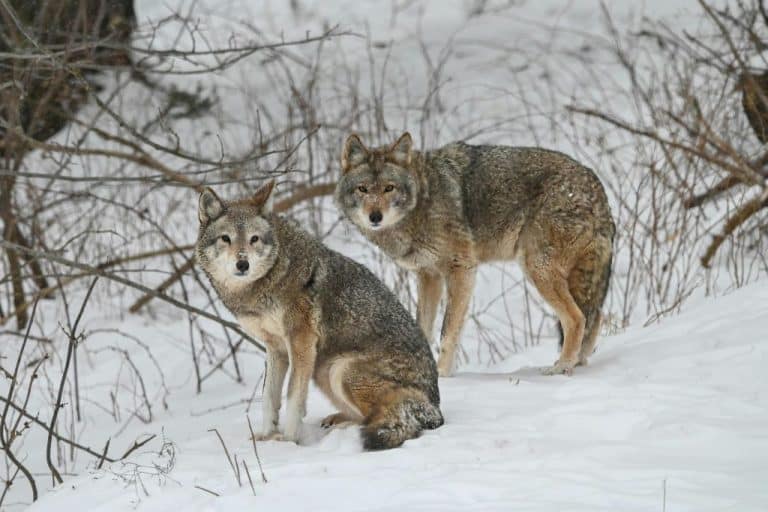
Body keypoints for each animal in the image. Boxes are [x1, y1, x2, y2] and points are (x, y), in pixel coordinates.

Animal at [196, 180, 443, 450]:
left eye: (254, 239)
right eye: (226, 239)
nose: (243, 264)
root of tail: (434, 407)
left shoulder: (300, 341)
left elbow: (293, 396)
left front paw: (289, 441)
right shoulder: (275, 348)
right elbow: (269, 397)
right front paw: (267, 437)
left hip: (341, 371)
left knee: (385, 417)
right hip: (323, 370)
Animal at [335, 132, 615, 377]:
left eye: (389, 188)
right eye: (362, 189)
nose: (375, 217)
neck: (422, 201)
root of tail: (596, 185)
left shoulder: (461, 270)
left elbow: (447, 333)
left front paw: (443, 375)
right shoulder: (429, 276)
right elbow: (423, 327)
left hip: (537, 269)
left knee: (577, 318)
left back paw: (561, 367)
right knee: (595, 317)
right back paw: (576, 362)